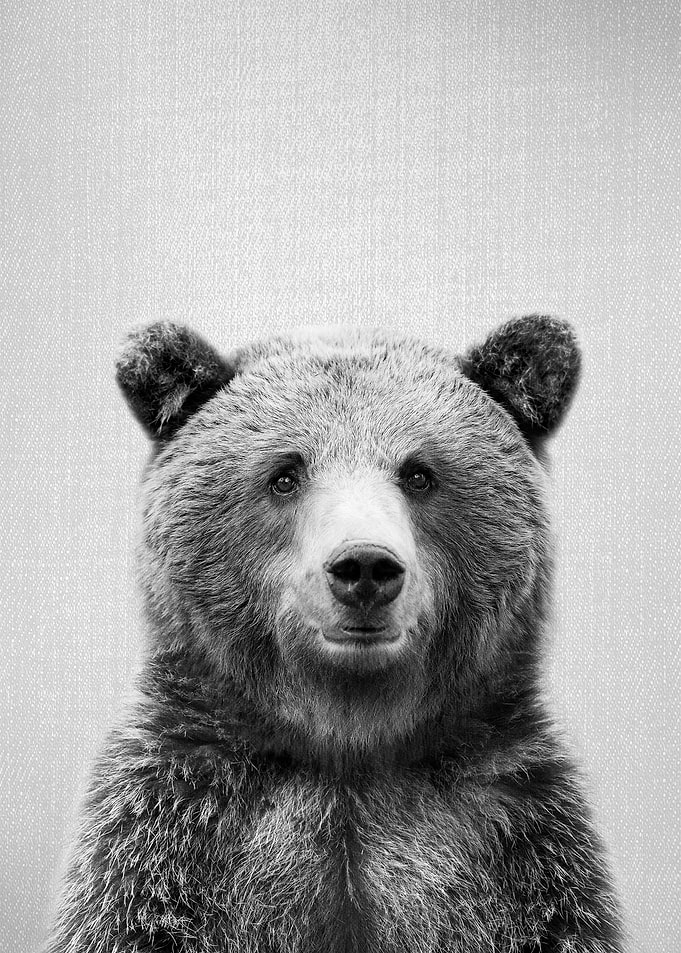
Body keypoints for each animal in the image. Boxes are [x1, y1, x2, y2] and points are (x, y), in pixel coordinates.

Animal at [44, 316, 624, 953]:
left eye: (419, 473)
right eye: (285, 474)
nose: (364, 566)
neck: (348, 745)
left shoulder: (517, 850)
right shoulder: (170, 841)